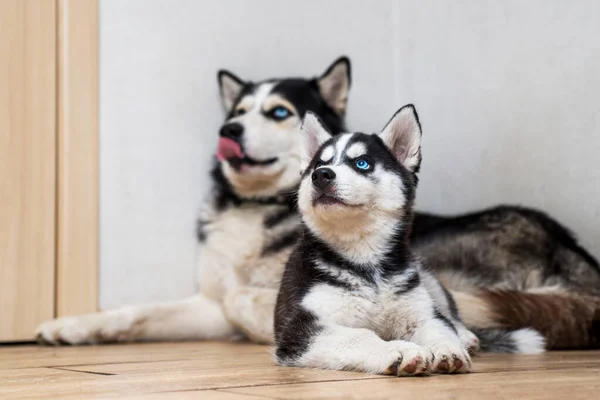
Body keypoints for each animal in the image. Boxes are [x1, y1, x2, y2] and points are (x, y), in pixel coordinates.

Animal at [37, 56, 600, 350]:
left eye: (278, 112)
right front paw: (72, 325)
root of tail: (579, 259)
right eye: (239, 110)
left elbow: (246, 300)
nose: (228, 130)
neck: (259, 208)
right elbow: (137, 312)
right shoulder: (207, 303)